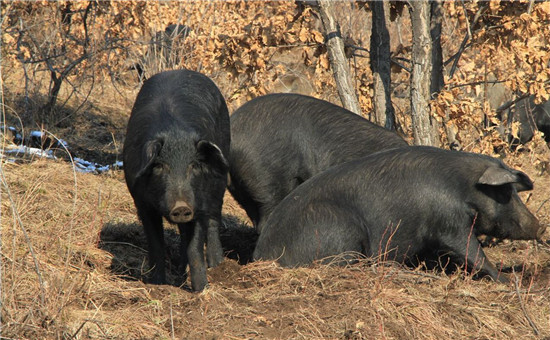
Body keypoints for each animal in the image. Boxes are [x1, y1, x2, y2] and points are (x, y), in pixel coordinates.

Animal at [123, 68, 231, 290]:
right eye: (159, 166)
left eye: (194, 165)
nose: (181, 206)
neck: (175, 134)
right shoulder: (141, 202)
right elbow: (156, 244)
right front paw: (158, 284)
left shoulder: (198, 202)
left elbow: (195, 247)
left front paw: (201, 290)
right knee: (182, 233)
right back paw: (181, 272)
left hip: (220, 178)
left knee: (214, 219)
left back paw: (217, 265)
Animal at [256, 146, 548, 282]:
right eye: (506, 192)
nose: (540, 226)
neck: (462, 186)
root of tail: (262, 254)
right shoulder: (448, 223)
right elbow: (471, 250)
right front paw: (509, 278)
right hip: (340, 229)